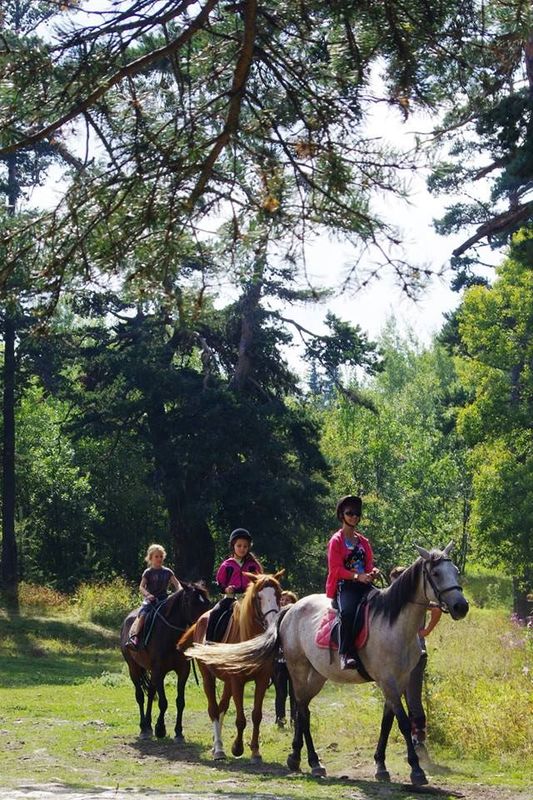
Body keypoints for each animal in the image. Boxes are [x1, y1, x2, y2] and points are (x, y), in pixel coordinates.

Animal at [120, 580, 210, 744]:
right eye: (191, 602)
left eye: (207, 602)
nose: (205, 624)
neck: (171, 636)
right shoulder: (159, 671)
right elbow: (163, 702)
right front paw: (160, 729)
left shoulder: (183, 671)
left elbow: (180, 701)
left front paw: (178, 732)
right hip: (133, 668)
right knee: (140, 696)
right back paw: (143, 728)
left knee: (150, 694)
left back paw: (148, 726)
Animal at [178, 568, 282, 764]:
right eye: (258, 597)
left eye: (278, 594)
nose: (273, 621)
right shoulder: (237, 681)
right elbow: (240, 719)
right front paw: (237, 748)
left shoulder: (262, 680)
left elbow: (256, 715)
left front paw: (255, 751)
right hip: (208, 677)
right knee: (213, 709)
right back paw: (219, 749)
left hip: (227, 682)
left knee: (221, 708)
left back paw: (215, 745)